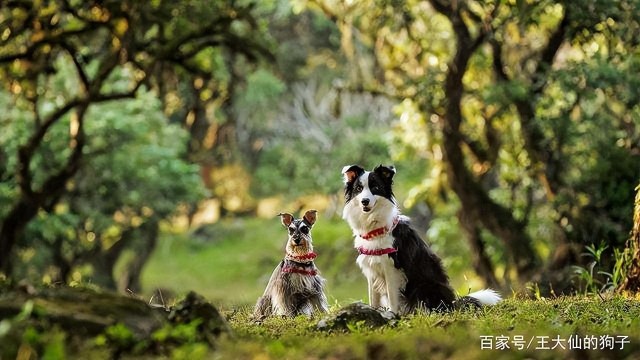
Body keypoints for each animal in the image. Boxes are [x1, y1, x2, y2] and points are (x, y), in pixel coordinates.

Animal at [340, 165, 500, 314]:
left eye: (375, 187)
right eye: (359, 189)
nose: (364, 201)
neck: (375, 228)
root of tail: (453, 303)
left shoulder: (391, 268)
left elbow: (392, 298)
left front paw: (393, 315)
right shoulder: (372, 269)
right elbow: (373, 299)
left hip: (424, 287)